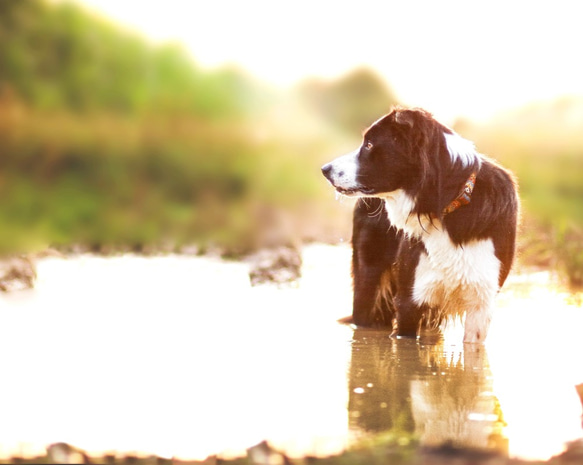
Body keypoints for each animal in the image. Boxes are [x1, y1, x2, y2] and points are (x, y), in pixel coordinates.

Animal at [324, 108, 520, 340]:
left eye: (369, 145)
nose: (325, 169)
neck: (448, 205)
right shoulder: (410, 299)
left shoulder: (481, 302)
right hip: (368, 276)